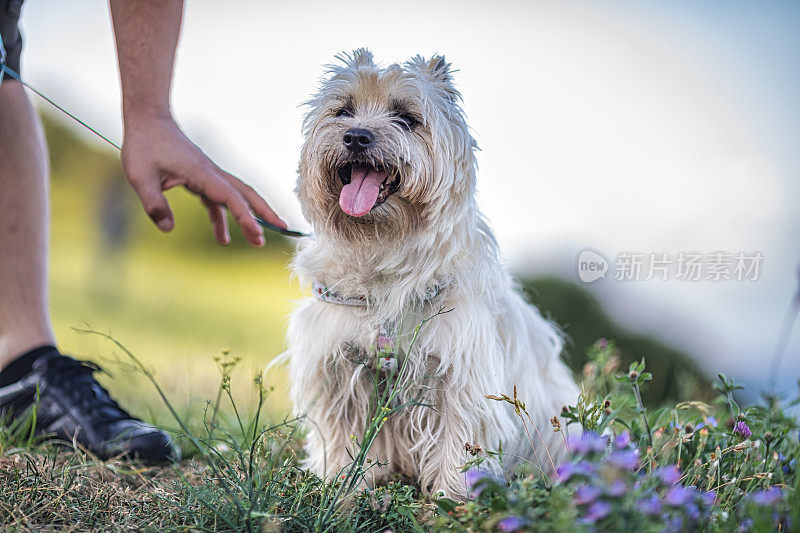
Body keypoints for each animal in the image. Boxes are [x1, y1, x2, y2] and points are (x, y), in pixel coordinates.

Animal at [284, 50, 580, 498]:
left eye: (407, 118)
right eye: (344, 110)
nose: (355, 136)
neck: (383, 249)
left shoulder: (460, 376)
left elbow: (458, 442)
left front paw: (451, 498)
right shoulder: (338, 369)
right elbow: (341, 434)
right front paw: (342, 484)